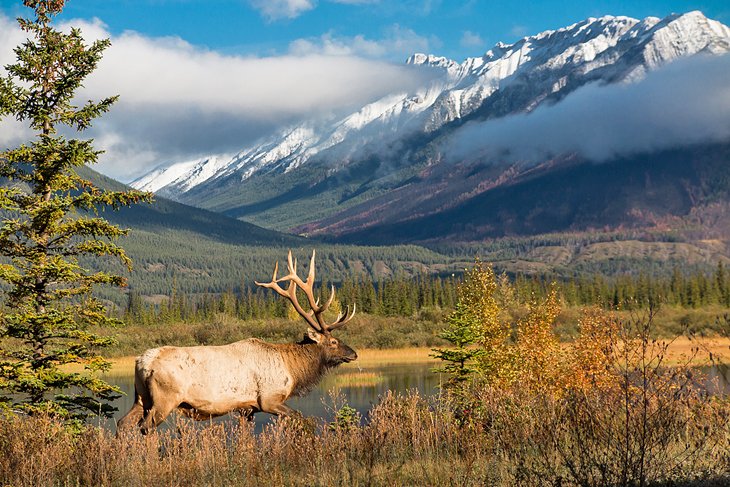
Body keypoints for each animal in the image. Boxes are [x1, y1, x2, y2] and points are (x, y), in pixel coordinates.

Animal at [116, 252, 356, 434]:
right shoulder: (269, 400)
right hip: (164, 400)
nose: (354, 353)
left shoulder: (246, 409)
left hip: (141, 397)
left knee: (122, 423)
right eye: (333, 341)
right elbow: (300, 418)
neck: (293, 370)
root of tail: (143, 362)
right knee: (145, 427)